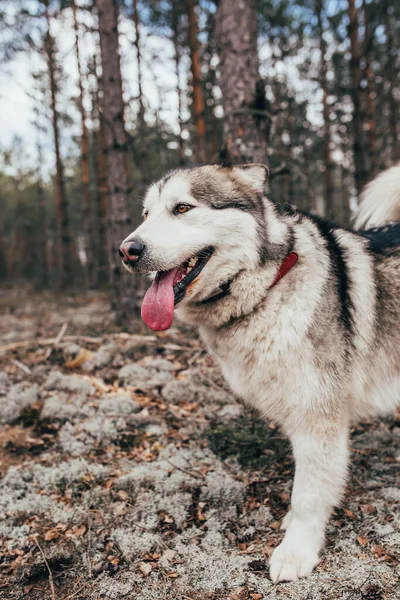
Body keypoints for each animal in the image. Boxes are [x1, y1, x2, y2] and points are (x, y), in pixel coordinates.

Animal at [119, 163, 400, 580]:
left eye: (182, 208)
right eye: (145, 214)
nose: (127, 250)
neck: (268, 288)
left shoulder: (318, 419)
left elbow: (307, 494)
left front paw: (296, 551)